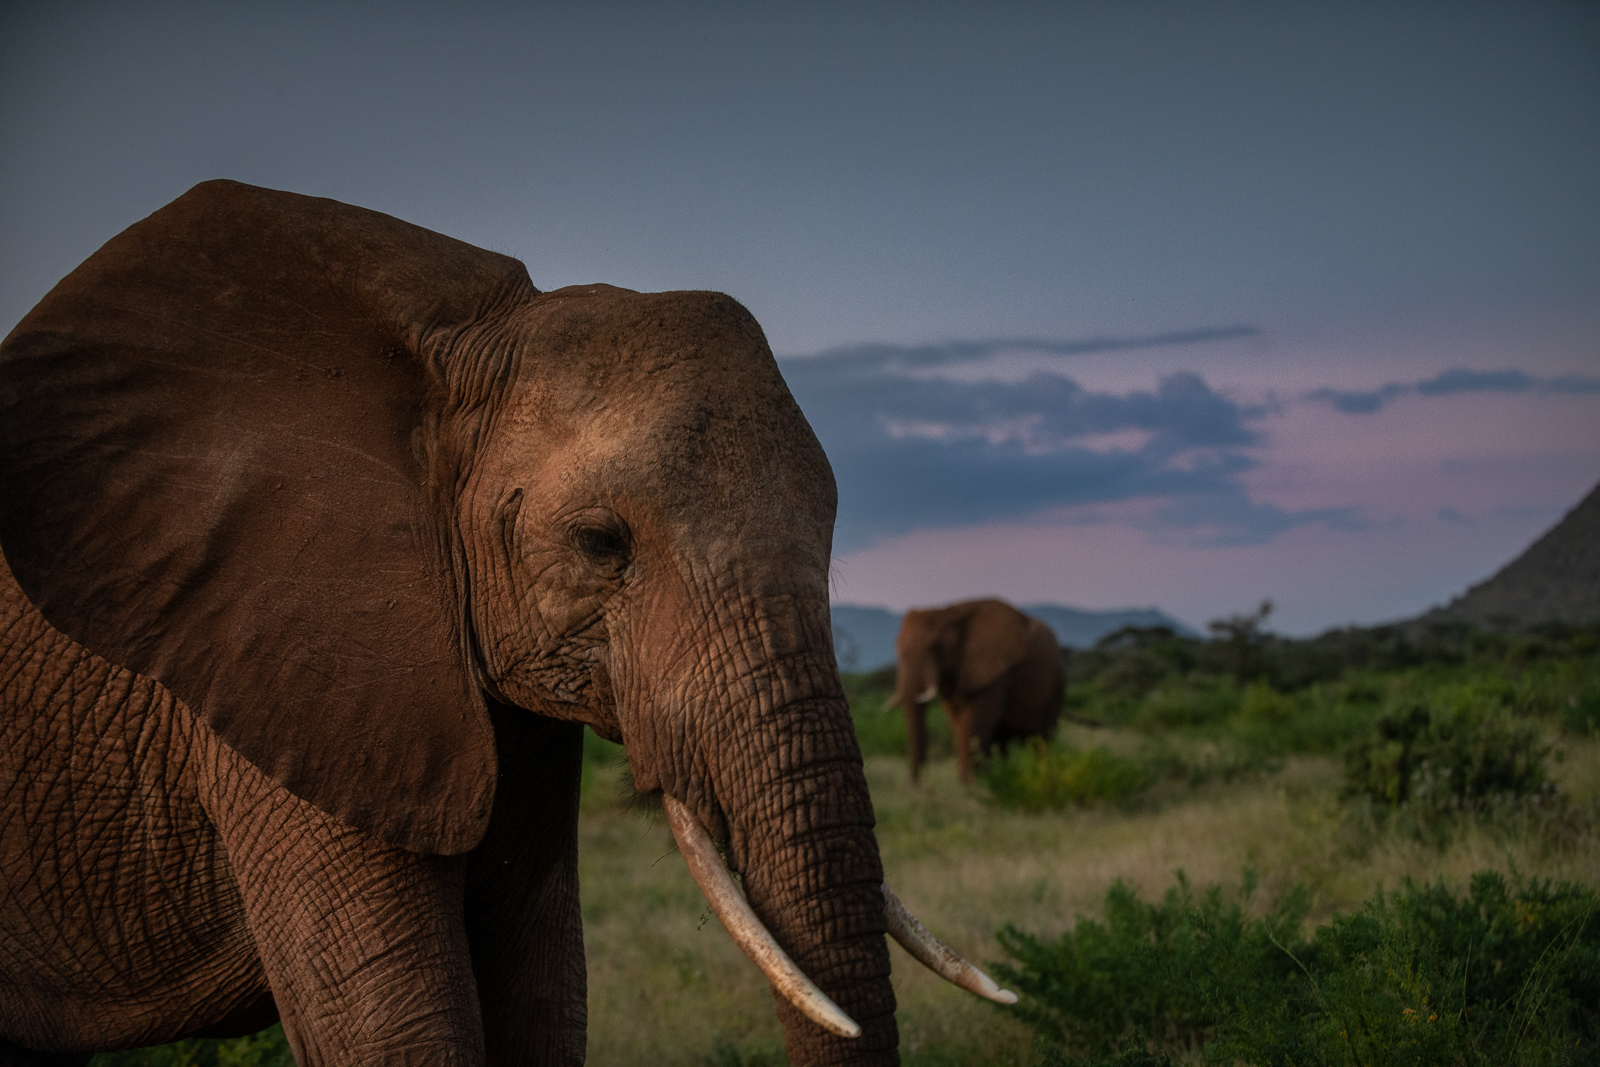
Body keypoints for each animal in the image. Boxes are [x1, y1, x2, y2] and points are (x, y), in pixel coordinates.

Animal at [888, 600, 1064, 784]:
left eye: (935, 648)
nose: (919, 785)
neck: (947, 612)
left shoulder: (994, 676)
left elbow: (975, 724)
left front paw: (969, 785)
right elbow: (959, 726)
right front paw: (972, 783)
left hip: (1057, 683)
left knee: (1043, 738)